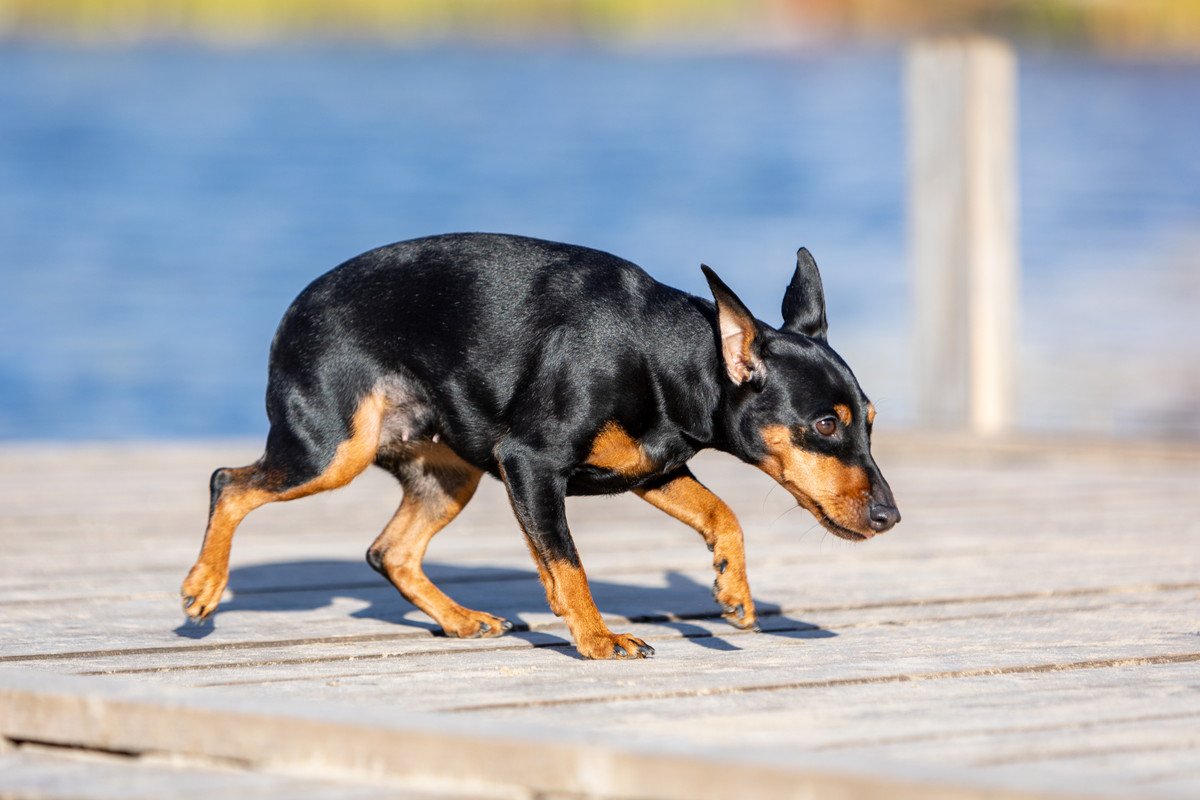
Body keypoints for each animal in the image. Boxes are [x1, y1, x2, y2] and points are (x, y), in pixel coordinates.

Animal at [182, 235, 902, 662]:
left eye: (868, 420)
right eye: (826, 426)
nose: (891, 518)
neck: (662, 351)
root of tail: (295, 309)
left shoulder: (653, 468)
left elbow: (723, 515)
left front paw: (733, 592)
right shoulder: (530, 464)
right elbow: (567, 565)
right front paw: (599, 639)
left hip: (449, 475)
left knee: (389, 551)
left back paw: (462, 620)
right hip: (332, 451)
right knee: (228, 482)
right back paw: (203, 588)